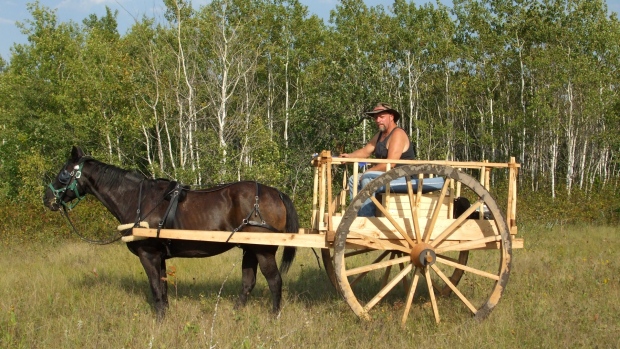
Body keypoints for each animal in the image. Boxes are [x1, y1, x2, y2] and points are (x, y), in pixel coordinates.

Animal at [42, 145, 300, 320]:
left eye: (64, 172)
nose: (47, 199)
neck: (137, 199)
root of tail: (275, 192)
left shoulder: (148, 254)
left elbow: (155, 287)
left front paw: (159, 320)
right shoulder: (159, 256)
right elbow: (163, 286)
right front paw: (164, 314)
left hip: (263, 250)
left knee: (274, 281)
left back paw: (274, 315)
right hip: (249, 248)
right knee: (249, 282)